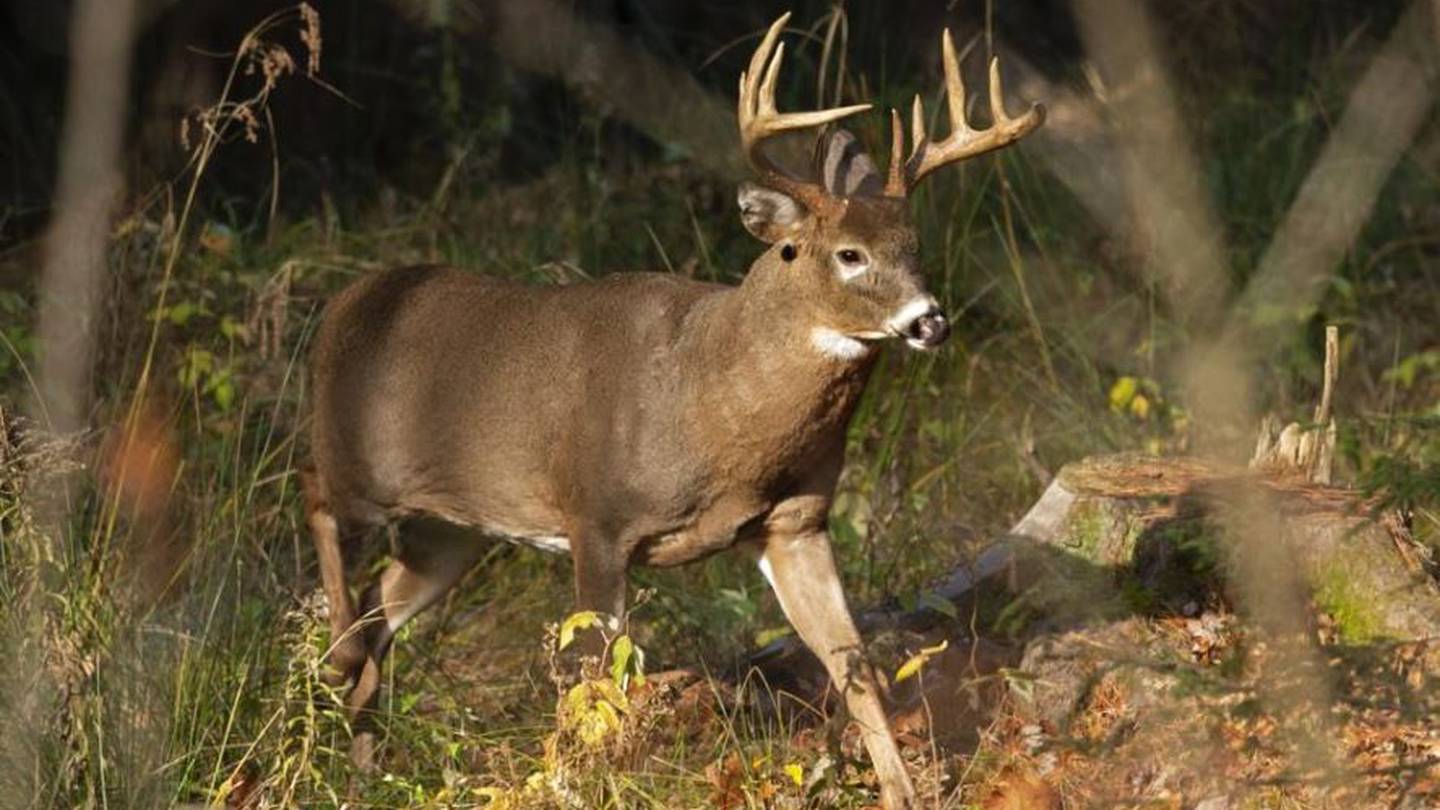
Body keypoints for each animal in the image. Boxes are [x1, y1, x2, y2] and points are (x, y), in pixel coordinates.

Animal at [301, 13, 1042, 808]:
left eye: (915, 246)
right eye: (848, 254)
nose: (930, 320)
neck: (712, 409)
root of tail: (341, 305)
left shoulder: (795, 522)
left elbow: (854, 665)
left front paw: (904, 792)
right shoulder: (596, 517)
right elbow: (593, 685)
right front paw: (581, 783)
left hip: (453, 527)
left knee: (383, 600)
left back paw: (360, 760)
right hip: (359, 461)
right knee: (317, 500)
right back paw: (338, 660)